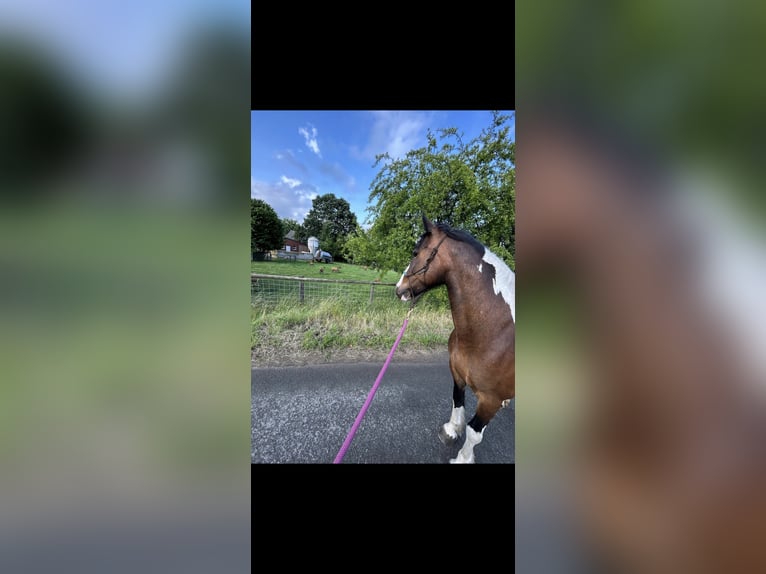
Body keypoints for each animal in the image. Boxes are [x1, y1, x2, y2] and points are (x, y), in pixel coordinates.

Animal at [395, 214, 515, 464]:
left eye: (415, 252)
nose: (399, 289)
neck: (494, 332)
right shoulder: (458, 374)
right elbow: (457, 403)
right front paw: (451, 431)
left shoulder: (490, 400)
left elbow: (474, 432)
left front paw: (462, 459)